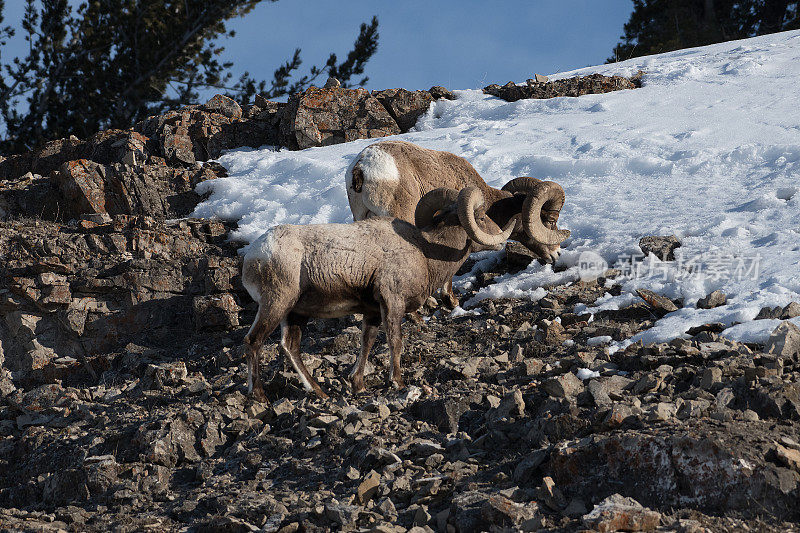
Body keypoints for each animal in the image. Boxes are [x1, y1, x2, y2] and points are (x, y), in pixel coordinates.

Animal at [241, 185, 512, 396]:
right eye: (482, 217)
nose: (502, 239)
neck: (425, 252)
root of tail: (253, 256)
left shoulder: (372, 312)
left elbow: (367, 342)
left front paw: (358, 385)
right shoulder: (392, 303)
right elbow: (395, 340)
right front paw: (397, 381)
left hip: (295, 314)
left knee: (290, 347)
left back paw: (320, 392)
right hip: (276, 305)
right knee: (254, 341)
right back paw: (259, 396)